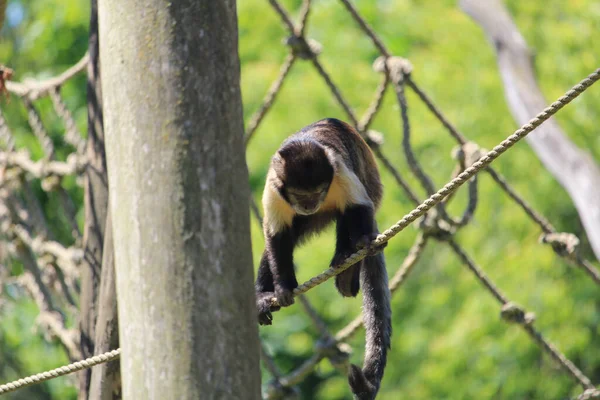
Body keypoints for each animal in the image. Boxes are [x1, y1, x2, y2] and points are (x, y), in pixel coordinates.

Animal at [254, 117, 392, 398]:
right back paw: (263, 296)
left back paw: (348, 265)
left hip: (370, 190)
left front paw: (363, 241)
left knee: (350, 211)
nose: (309, 205)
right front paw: (282, 288)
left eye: (317, 192)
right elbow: (276, 236)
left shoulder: (338, 169)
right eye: (300, 194)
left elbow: (358, 206)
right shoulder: (274, 185)